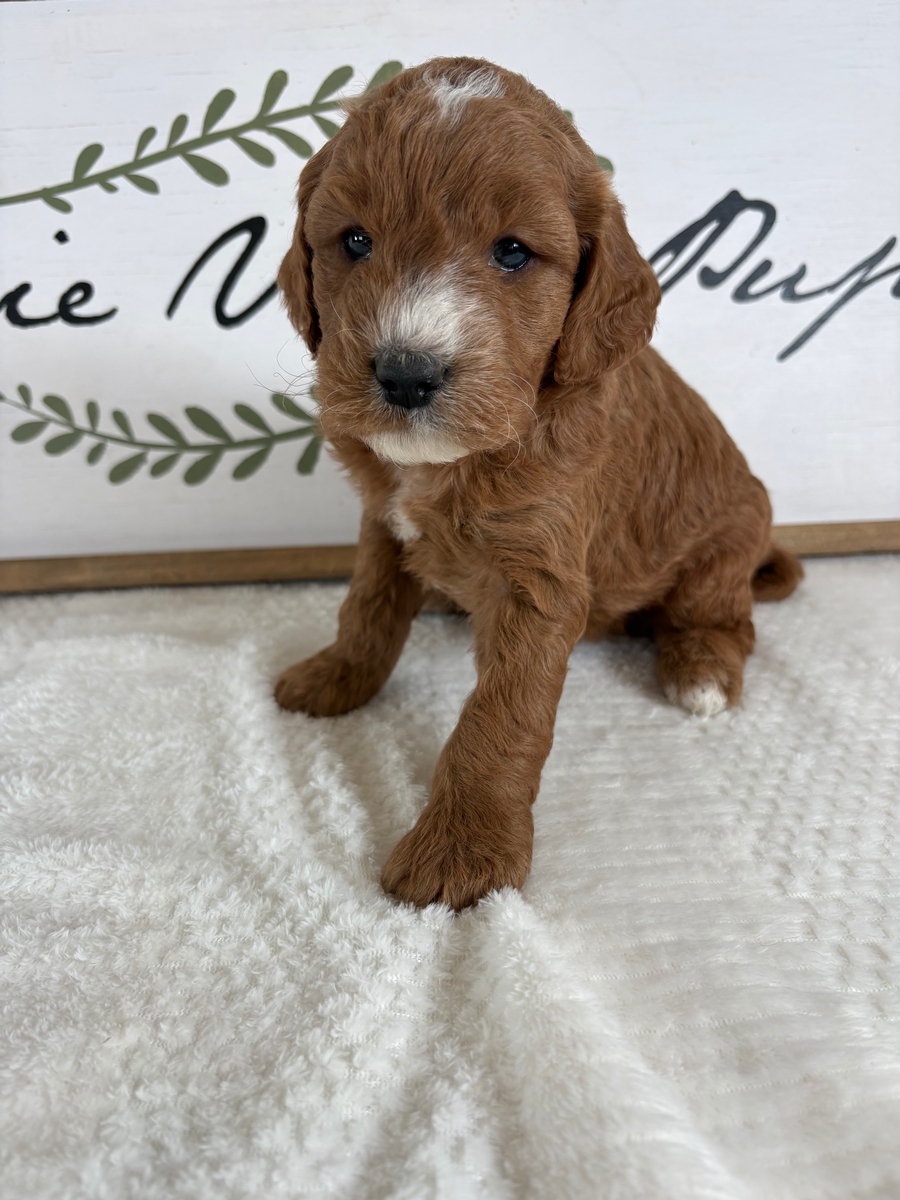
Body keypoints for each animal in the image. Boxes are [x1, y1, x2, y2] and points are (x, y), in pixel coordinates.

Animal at [274, 57, 803, 910]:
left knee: (725, 619)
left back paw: (701, 672)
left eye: (514, 253)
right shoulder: (385, 524)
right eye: (354, 240)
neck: (455, 460)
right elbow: (368, 608)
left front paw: (464, 850)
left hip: (721, 550)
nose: (406, 373)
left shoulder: (540, 571)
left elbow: (500, 715)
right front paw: (338, 676)